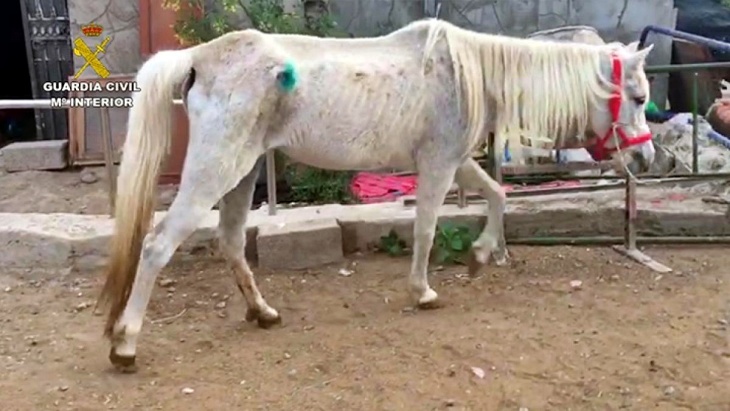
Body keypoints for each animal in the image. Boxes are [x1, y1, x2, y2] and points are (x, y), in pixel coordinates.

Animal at [96, 18, 655, 372]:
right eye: (638, 97)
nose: (649, 161)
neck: (466, 72)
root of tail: (198, 59)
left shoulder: (453, 160)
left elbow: (497, 195)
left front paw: (478, 256)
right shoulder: (438, 165)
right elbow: (427, 228)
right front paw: (423, 291)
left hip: (241, 174)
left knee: (231, 242)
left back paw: (263, 313)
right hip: (215, 172)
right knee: (157, 246)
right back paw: (125, 345)